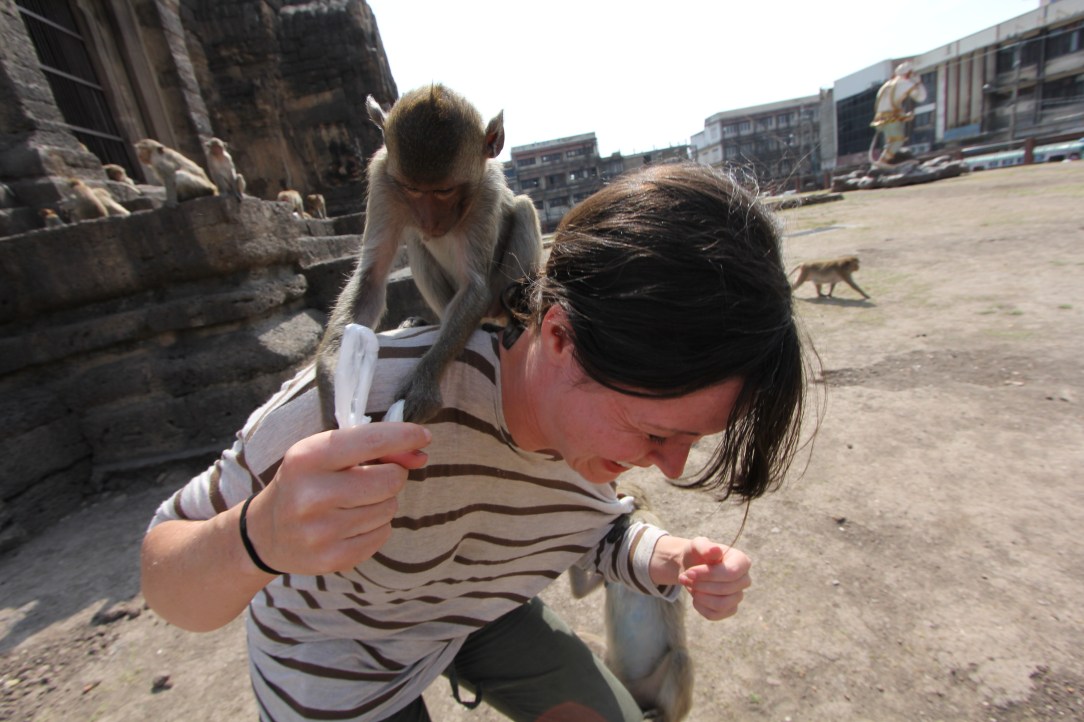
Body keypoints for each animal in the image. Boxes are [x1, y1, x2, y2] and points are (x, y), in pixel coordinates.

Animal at [314, 84, 543, 426]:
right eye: (412, 189)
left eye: (444, 191)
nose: (429, 221)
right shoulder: (382, 179)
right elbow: (372, 275)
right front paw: (332, 374)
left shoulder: (486, 192)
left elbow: (474, 286)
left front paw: (423, 383)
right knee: (414, 241)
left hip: (497, 297)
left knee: (524, 209)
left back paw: (514, 320)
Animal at [568, 483, 694, 722]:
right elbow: (580, 591)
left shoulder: (647, 523)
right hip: (611, 667)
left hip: (651, 688)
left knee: (680, 657)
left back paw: (663, 715)